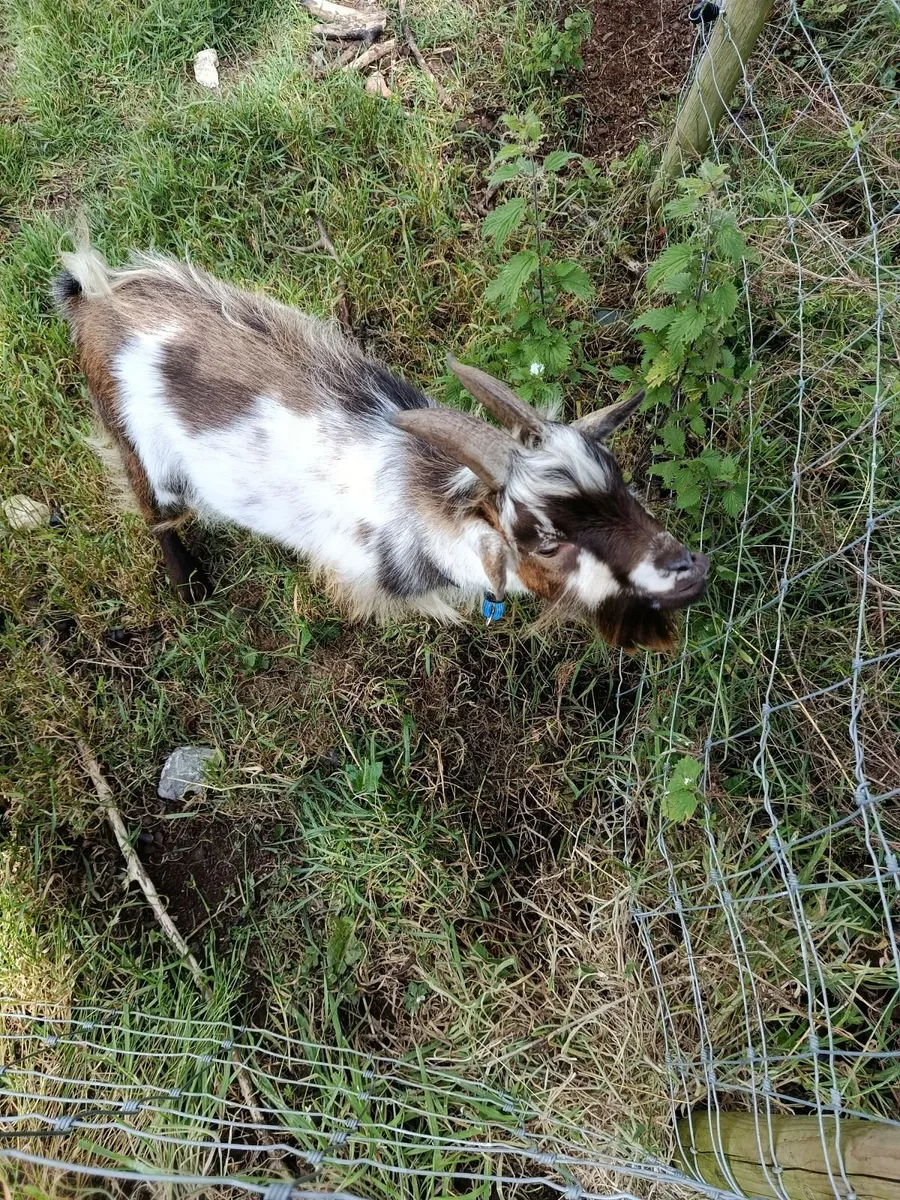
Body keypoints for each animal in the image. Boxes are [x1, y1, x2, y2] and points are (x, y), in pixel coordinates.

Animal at [52, 244, 709, 650]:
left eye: (619, 481)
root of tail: (96, 299)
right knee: (152, 508)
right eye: (544, 539)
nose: (688, 569)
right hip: (133, 439)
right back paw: (189, 583)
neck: (424, 506)